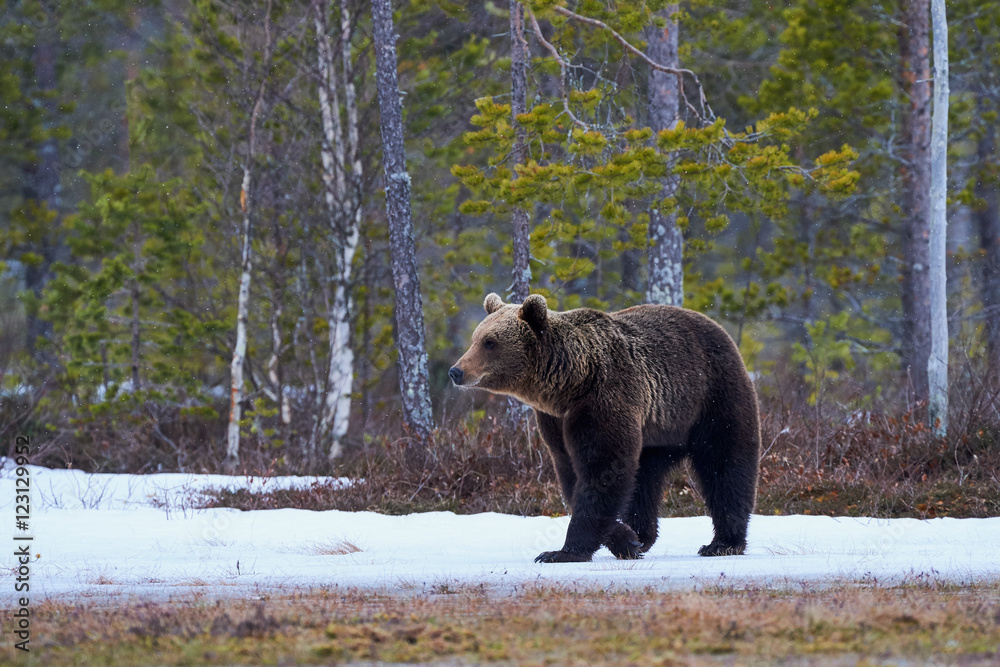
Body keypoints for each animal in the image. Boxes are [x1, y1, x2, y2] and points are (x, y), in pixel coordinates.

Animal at [449, 293, 760, 563]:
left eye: (490, 342)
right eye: (476, 338)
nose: (456, 371)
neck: (570, 383)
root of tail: (717, 327)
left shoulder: (603, 399)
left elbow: (602, 468)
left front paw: (561, 552)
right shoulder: (556, 420)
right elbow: (572, 472)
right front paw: (627, 539)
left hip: (710, 396)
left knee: (725, 464)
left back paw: (723, 543)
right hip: (656, 432)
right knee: (644, 479)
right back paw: (644, 534)